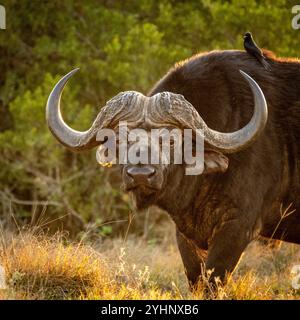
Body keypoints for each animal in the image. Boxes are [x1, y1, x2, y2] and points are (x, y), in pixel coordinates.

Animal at [46, 48, 300, 288]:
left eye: (170, 140)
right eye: (121, 140)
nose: (140, 175)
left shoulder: (238, 227)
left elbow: (213, 280)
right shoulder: (184, 233)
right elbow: (196, 278)